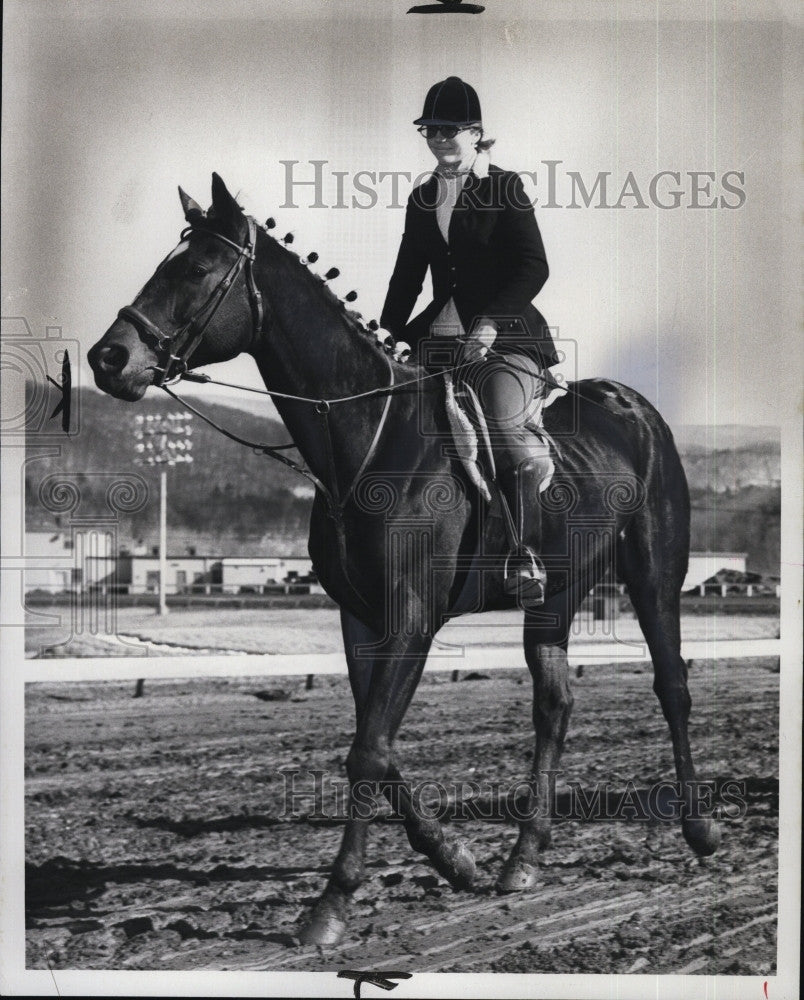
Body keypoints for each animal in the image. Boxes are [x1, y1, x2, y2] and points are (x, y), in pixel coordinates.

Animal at [89, 172, 724, 944]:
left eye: (199, 270)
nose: (107, 359)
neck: (366, 437)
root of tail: (631, 404)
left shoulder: (411, 618)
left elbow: (368, 749)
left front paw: (331, 906)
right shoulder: (361, 619)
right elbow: (379, 743)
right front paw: (455, 858)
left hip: (655, 576)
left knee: (672, 686)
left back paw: (698, 830)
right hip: (554, 594)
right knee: (554, 706)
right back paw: (523, 858)